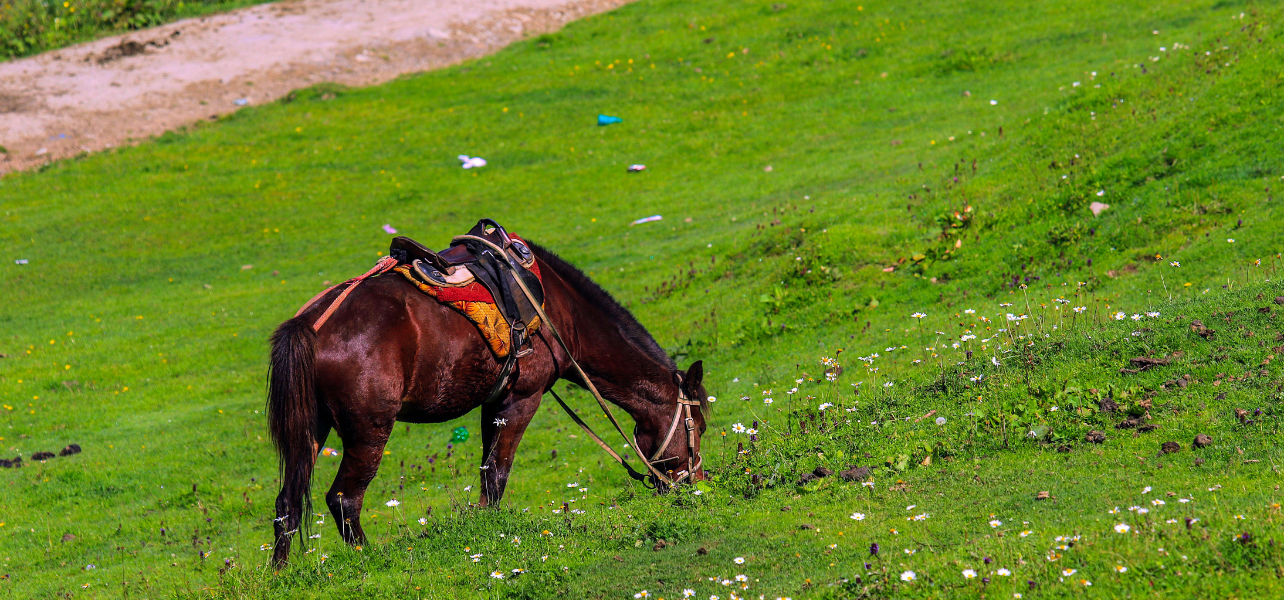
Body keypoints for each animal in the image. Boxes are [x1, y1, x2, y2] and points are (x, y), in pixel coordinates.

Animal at [265, 241, 709, 566]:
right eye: (699, 426)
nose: (696, 486)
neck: (559, 311)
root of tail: (308, 325)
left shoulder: (491, 402)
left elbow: (485, 471)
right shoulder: (521, 398)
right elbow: (497, 474)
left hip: (311, 428)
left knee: (287, 503)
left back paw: (280, 572)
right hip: (368, 430)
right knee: (344, 499)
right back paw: (367, 559)